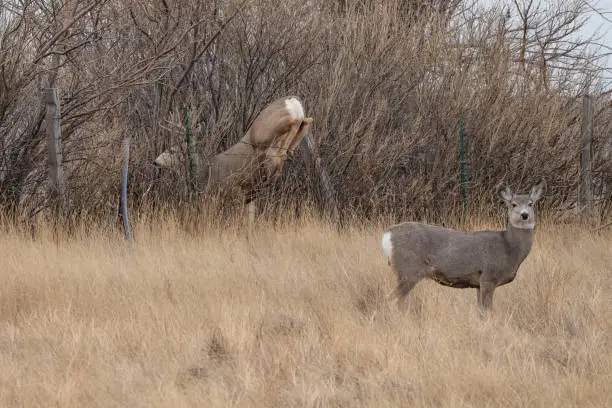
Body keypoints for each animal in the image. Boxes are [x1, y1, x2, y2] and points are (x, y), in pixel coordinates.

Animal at [153, 96, 316, 223]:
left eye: (172, 150)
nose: (155, 162)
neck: (205, 173)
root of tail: (291, 100)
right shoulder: (249, 197)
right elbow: (249, 222)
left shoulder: (229, 191)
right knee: (307, 120)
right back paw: (287, 151)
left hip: (263, 131)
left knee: (294, 122)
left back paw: (281, 154)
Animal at [380, 178, 548, 316]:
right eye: (513, 204)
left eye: (531, 204)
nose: (524, 215)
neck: (509, 249)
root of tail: (388, 235)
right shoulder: (488, 276)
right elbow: (487, 311)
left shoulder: (478, 284)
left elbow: (481, 311)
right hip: (409, 269)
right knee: (390, 299)